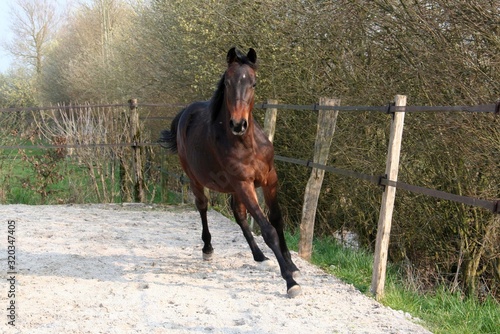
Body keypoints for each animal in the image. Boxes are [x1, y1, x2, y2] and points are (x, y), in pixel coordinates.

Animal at [161, 47, 300, 298]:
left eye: (253, 83)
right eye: (227, 82)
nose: (238, 124)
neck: (247, 144)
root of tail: (185, 113)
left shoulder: (270, 179)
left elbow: (276, 219)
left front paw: (291, 265)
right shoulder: (243, 183)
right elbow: (268, 230)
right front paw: (289, 281)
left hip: (235, 189)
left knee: (239, 216)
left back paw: (260, 256)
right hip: (197, 180)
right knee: (203, 207)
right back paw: (208, 248)